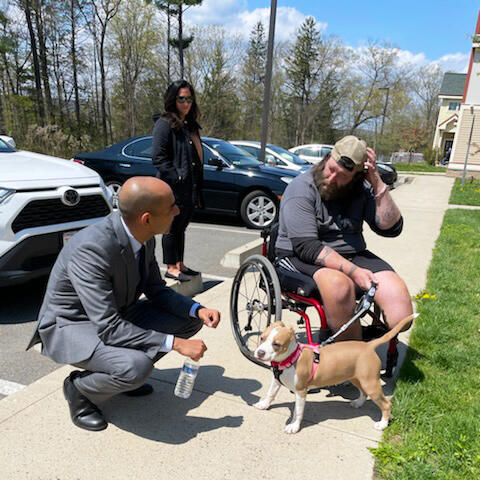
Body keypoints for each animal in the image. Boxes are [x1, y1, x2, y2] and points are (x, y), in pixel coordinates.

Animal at [253, 316, 414, 436]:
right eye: (262, 338)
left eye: (276, 344)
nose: (260, 353)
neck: (290, 359)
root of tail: (368, 345)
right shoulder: (276, 381)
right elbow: (270, 393)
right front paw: (264, 404)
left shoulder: (301, 391)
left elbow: (298, 411)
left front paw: (294, 426)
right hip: (357, 378)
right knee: (363, 392)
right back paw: (358, 403)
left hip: (370, 383)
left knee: (386, 404)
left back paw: (382, 424)